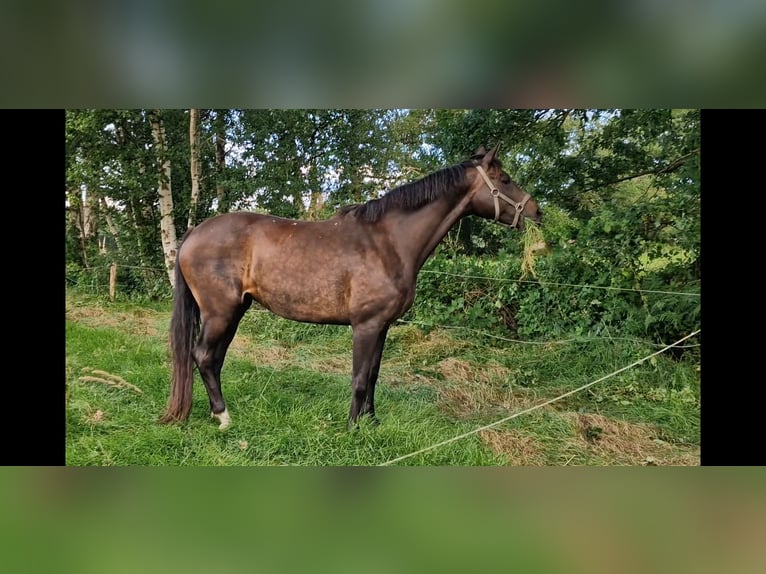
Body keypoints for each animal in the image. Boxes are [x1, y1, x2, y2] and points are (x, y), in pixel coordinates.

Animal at [162, 144, 544, 432]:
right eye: (505, 179)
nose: (537, 213)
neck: (388, 242)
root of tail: (194, 234)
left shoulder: (383, 326)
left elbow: (373, 376)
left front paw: (371, 423)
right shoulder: (366, 325)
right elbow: (359, 378)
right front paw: (352, 429)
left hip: (234, 311)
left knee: (212, 359)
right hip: (220, 313)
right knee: (203, 357)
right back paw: (224, 418)